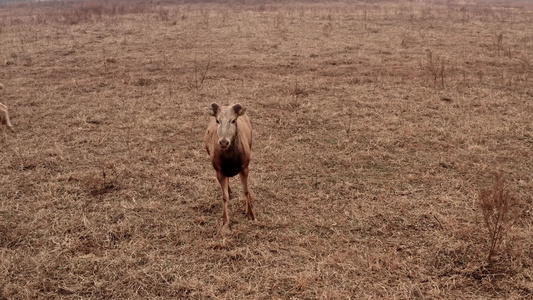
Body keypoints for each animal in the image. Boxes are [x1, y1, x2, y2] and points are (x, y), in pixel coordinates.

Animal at [204, 102, 254, 232]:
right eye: (217, 120)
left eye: (233, 120)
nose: (223, 142)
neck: (230, 161)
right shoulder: (219, 170)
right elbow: (224, 196)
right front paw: (225, 222)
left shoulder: (245, 166)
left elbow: (246, 190)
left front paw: (250, 214)